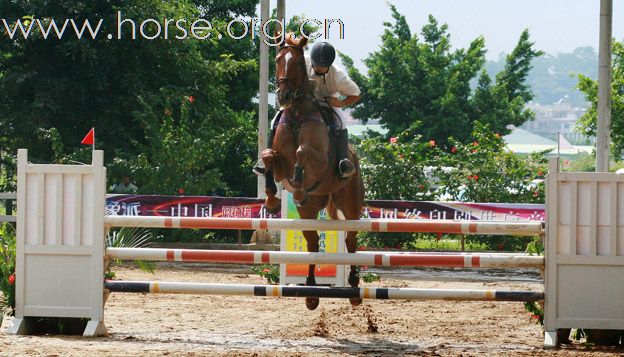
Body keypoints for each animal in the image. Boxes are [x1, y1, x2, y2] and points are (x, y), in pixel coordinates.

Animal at [260, 34, 366, 310]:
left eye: (297, 63)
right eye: (278, 60)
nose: (284, 96)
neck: (298, 114)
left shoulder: (318, 161)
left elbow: (302, 152)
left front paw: (297, 185)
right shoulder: (279, 164)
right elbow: (268, 157)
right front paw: (271, 199)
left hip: (350, 204)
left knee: (351, 241)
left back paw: (353, 287)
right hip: (308, 212)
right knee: (312, 244)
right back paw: (310, 291)